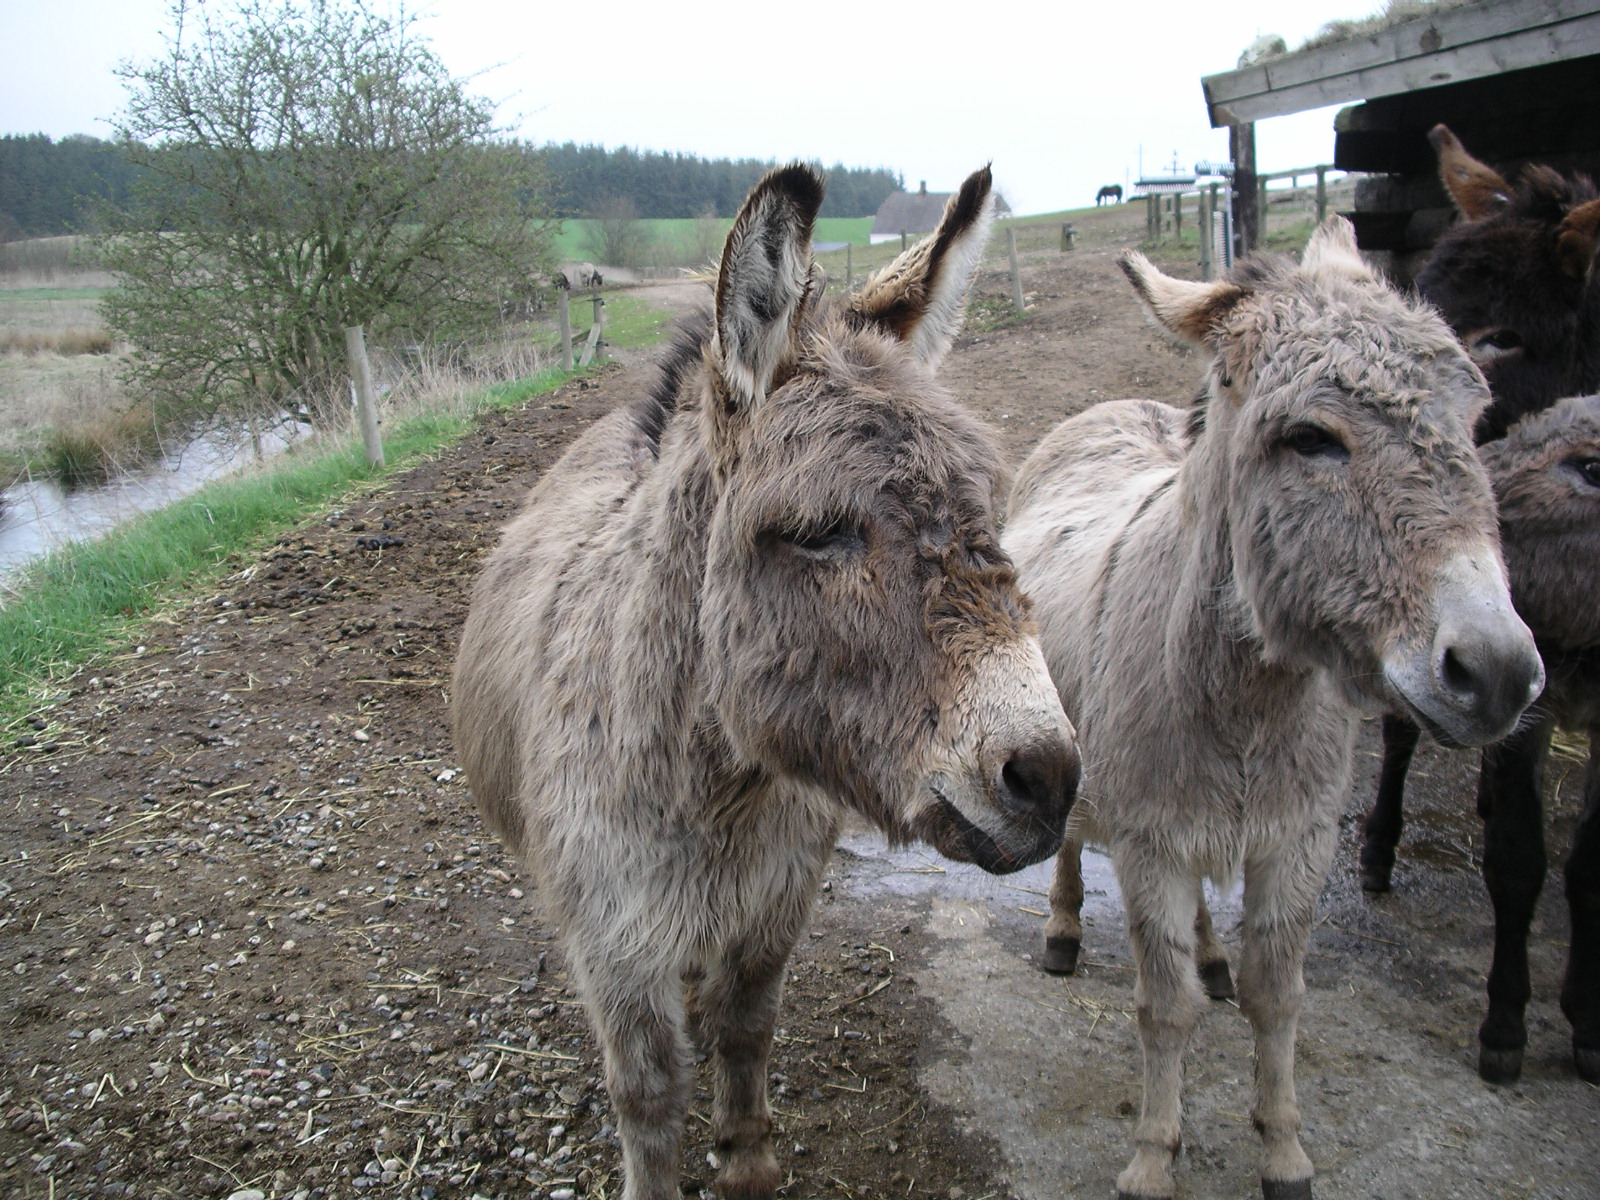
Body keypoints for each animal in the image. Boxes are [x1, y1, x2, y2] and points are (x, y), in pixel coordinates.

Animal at [452, 164, 1080, 1200]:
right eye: (818, 532)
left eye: (987, 510)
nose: (1051, 778)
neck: (718, 789)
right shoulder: (611, 939)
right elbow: (648, 1093)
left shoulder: (775, 902)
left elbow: (746, 1035)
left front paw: (744, 1160)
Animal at [1006, 218, 1541, 1200]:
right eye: (1310, 438)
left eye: (1474, 421)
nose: (1499, 672)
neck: (1249, 698)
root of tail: (1110, 412)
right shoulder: (1151, 845)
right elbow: (1165, 1008)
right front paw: (1154, 1153)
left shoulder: (1297, 837)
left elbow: (1276, 996)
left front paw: (1285, 1148)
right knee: (1067, 841)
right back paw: (1061, 930)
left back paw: (1214, 953)